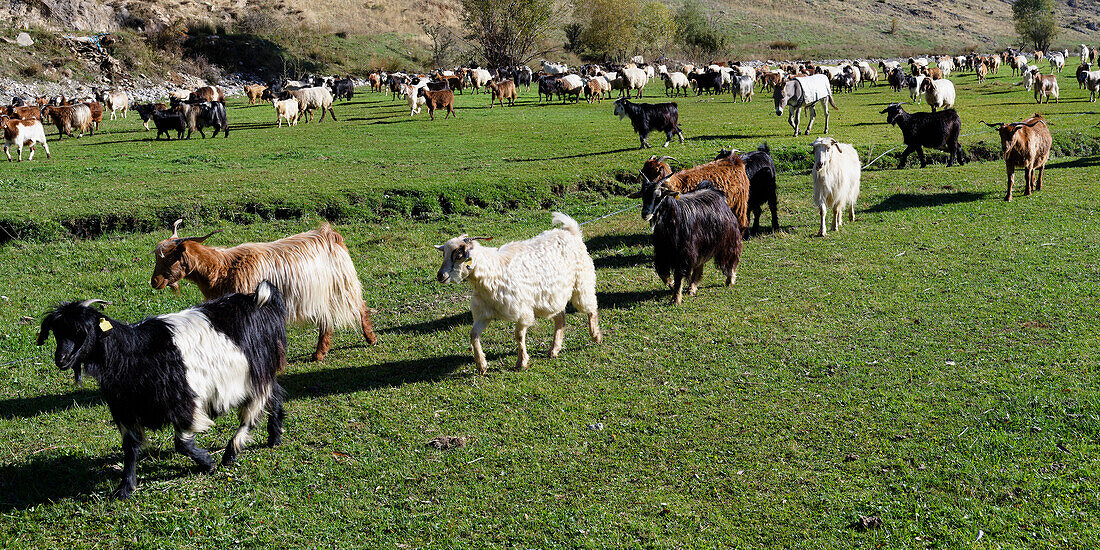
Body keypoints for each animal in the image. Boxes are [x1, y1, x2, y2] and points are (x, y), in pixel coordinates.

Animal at [36, 283, 288, 499]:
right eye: (56, 333)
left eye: (83, 332)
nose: (61, 359)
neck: (132, 355)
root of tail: (260, 300)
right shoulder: (125, 411)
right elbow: (130, 449)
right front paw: (125, 487)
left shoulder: (183, 403)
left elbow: (182, 444)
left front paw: (207, 462)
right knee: (275, 394)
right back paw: (274, 436)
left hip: (257, 372)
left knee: (253, 411)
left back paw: (231, 452)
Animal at [151, 218, 378, 360]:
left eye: (170, 259)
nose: (154, 281)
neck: (224, 267)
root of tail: (329, 233)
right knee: (326, 320)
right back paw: (319, 354)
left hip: (343, 285)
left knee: (360, 306)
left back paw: (371, 339)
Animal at [433, 212, 602, 376]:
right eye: (444, 254)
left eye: (459, 255)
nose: (440, 276)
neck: (492, 271)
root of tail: (571, 233)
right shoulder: (484, 313)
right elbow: (473, 335)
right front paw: (481, 365)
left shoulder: (521, 310)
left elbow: (518, 335)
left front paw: (521, 362)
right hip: (552, 295)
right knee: (560, 317)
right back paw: (554, 349)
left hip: (582, 283)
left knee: (591, 307)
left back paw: (596, 336)